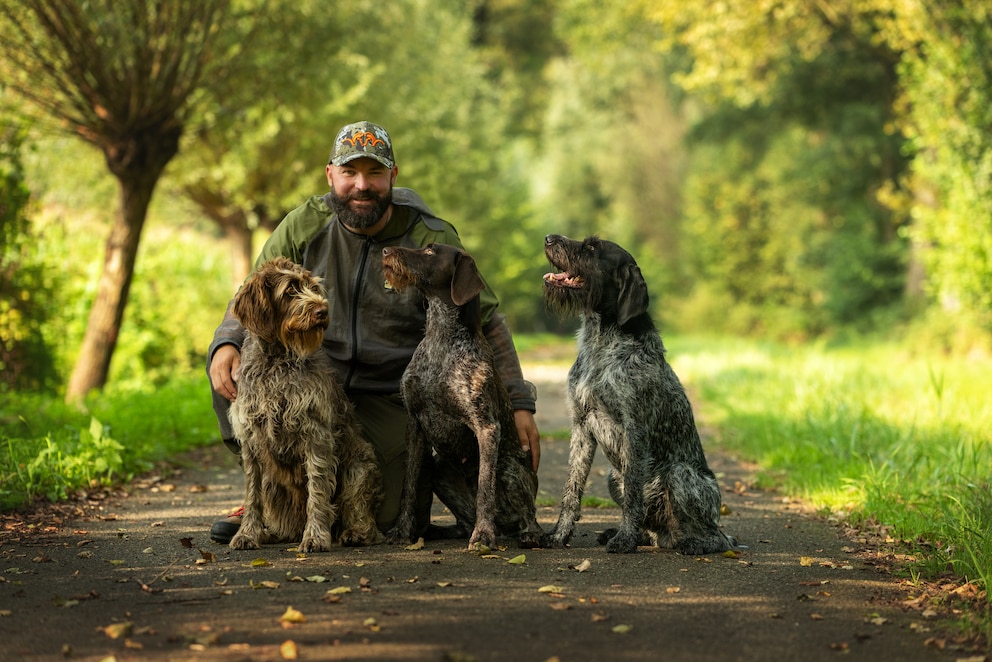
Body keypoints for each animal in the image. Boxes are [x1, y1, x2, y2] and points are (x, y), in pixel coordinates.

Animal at [228, 256, 380, 552]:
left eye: (313, 287)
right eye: (290, 290)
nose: (323, 310)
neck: (277, 361)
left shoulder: (315, 434)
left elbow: (317, 493)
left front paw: (316, 536)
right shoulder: (251, 439)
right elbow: (253, 496)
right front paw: (248, 534)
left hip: (358, 470)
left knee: (359, 511)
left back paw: (356, 532)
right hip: (273, 482)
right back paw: (272, 533)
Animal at [380, 246, 544, 552]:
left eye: (429, 251)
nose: (385, 250)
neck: (441, 337)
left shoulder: (486, 427)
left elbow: (484, 490)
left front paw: (483, 536)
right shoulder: (414, 424)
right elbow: (408, 486)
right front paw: (402, 530)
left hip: (509, 470)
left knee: (527, 514)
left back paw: (528, 533)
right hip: (440, 470)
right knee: (465, 520)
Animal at [544, 233, 736, 556]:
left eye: (592, 247)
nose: (548, 238)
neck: (601, 340)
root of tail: (667, 538)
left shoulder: (634, 429)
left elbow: (634, 496)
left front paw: (624, 540)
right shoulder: (581, 426)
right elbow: (572, 490)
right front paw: (559, 535)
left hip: (680, 475)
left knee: (717, 536)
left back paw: (693, 544)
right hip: (613, 476)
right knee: (655, 529)